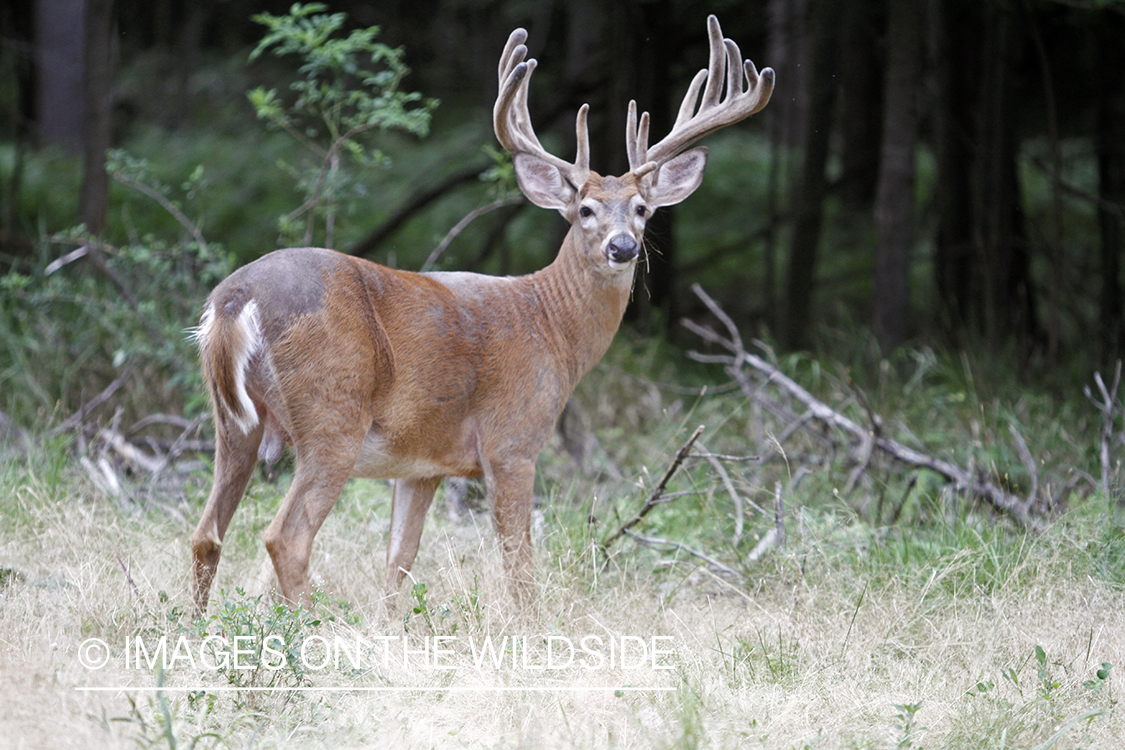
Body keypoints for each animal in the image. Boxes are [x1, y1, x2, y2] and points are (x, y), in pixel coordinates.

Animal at [193, 16, 774, 616]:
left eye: (641, 209)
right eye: (585, 210)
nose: (622, 247)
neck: (552, 326)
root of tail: (234, 299)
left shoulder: (423, 464)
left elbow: (399, 562)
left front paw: (392, 625)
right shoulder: (513, 439)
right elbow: (519, 565)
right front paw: (533, 628)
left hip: (233, 423)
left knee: (206, 534)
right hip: (332, 413)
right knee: (285, 536)